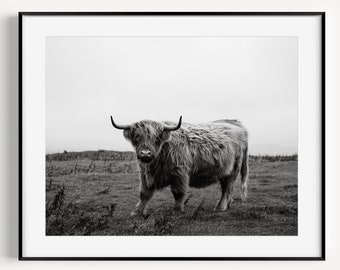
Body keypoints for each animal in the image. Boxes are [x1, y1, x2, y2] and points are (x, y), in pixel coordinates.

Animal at [110, 115, 248, 216]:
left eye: (156, 138)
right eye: (136, 137)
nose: (145, 153)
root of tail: (237, 124)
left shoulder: (179, 173)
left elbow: (178, 193)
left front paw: (177, 210)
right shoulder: (145, 175)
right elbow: (144, 194)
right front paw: (136, 212)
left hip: (233, 168)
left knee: (227, 187)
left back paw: (221, 207)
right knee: (228, 187)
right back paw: (228, 204)